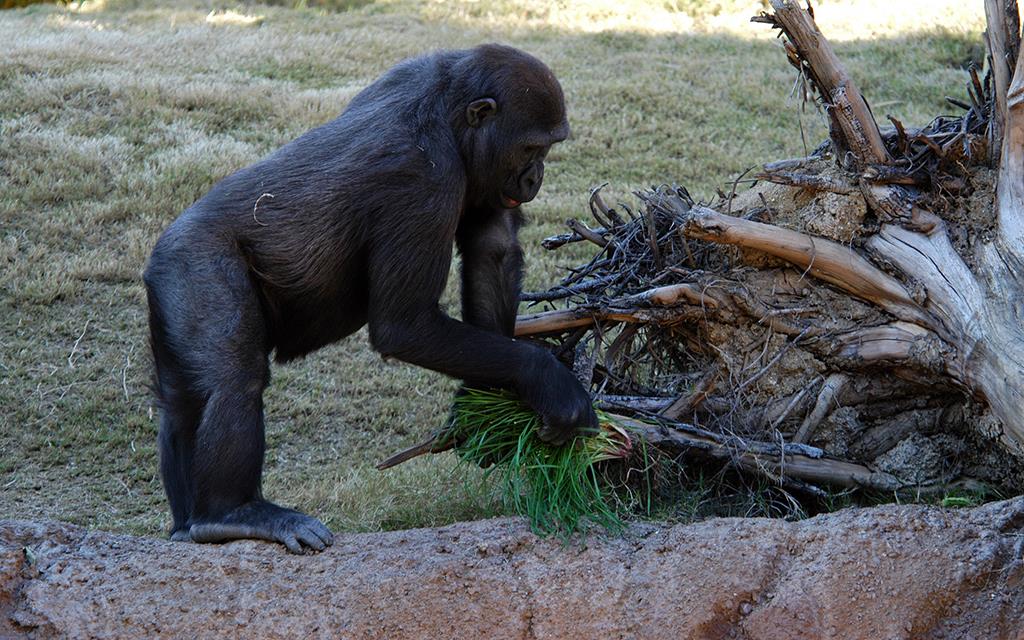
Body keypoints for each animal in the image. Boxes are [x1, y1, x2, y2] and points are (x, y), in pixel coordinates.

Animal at [140, 43, 598, 552]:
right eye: (533, 148)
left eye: (548, 149)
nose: (534, 178)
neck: (448, 112)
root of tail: (161, 251)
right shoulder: (424, 181)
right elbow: (406, 325)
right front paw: (547, 380)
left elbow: (492, 249)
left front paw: (489, 406)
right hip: (196, 264)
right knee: (233, 378)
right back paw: (233, 513)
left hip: (171, 283)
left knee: (181, 399)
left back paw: (191, 524)